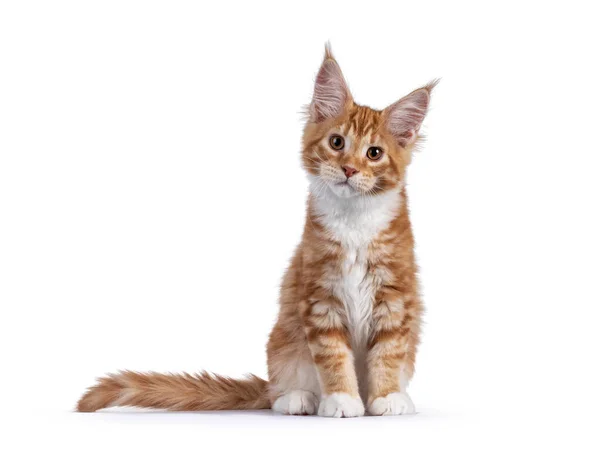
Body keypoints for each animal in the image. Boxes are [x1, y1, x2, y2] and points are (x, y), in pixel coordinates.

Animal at [78, 45, 436, 418]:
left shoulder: (396, 296)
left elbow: (388, 353)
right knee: (278, 390)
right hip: (284, 343)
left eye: (374, 153)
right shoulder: (319, 296)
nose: (349, 169)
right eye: (337, 143)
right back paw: (299, 398)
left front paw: (386, 397)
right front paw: (341, 398)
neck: (354, 221)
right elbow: (333, 356)